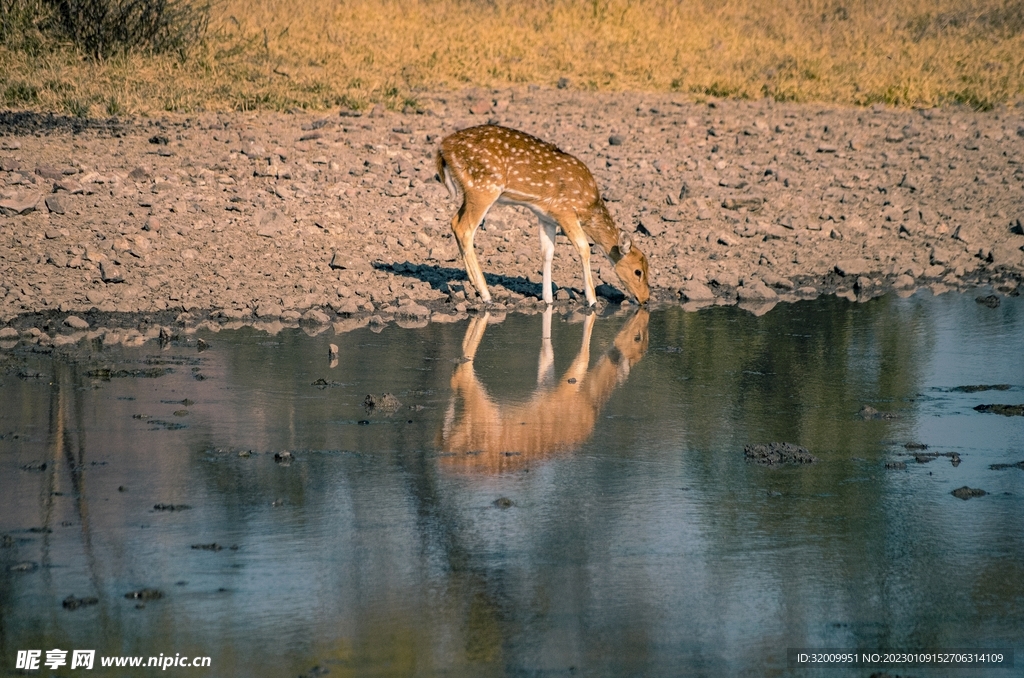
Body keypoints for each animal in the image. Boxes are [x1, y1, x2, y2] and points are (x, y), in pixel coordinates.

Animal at [435, 125, 650, 306]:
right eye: (637, 271)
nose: (645, 299)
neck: (588, 206)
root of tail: (443, 147)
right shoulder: (564, 210)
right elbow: (584, 248)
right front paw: (592, 300)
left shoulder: (546, 216)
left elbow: (547, 252)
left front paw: (548, 299)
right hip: (484, 187)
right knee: (464, 229)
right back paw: (486, 295)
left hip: (470, 190)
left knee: (454, 222)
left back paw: (475, 286)